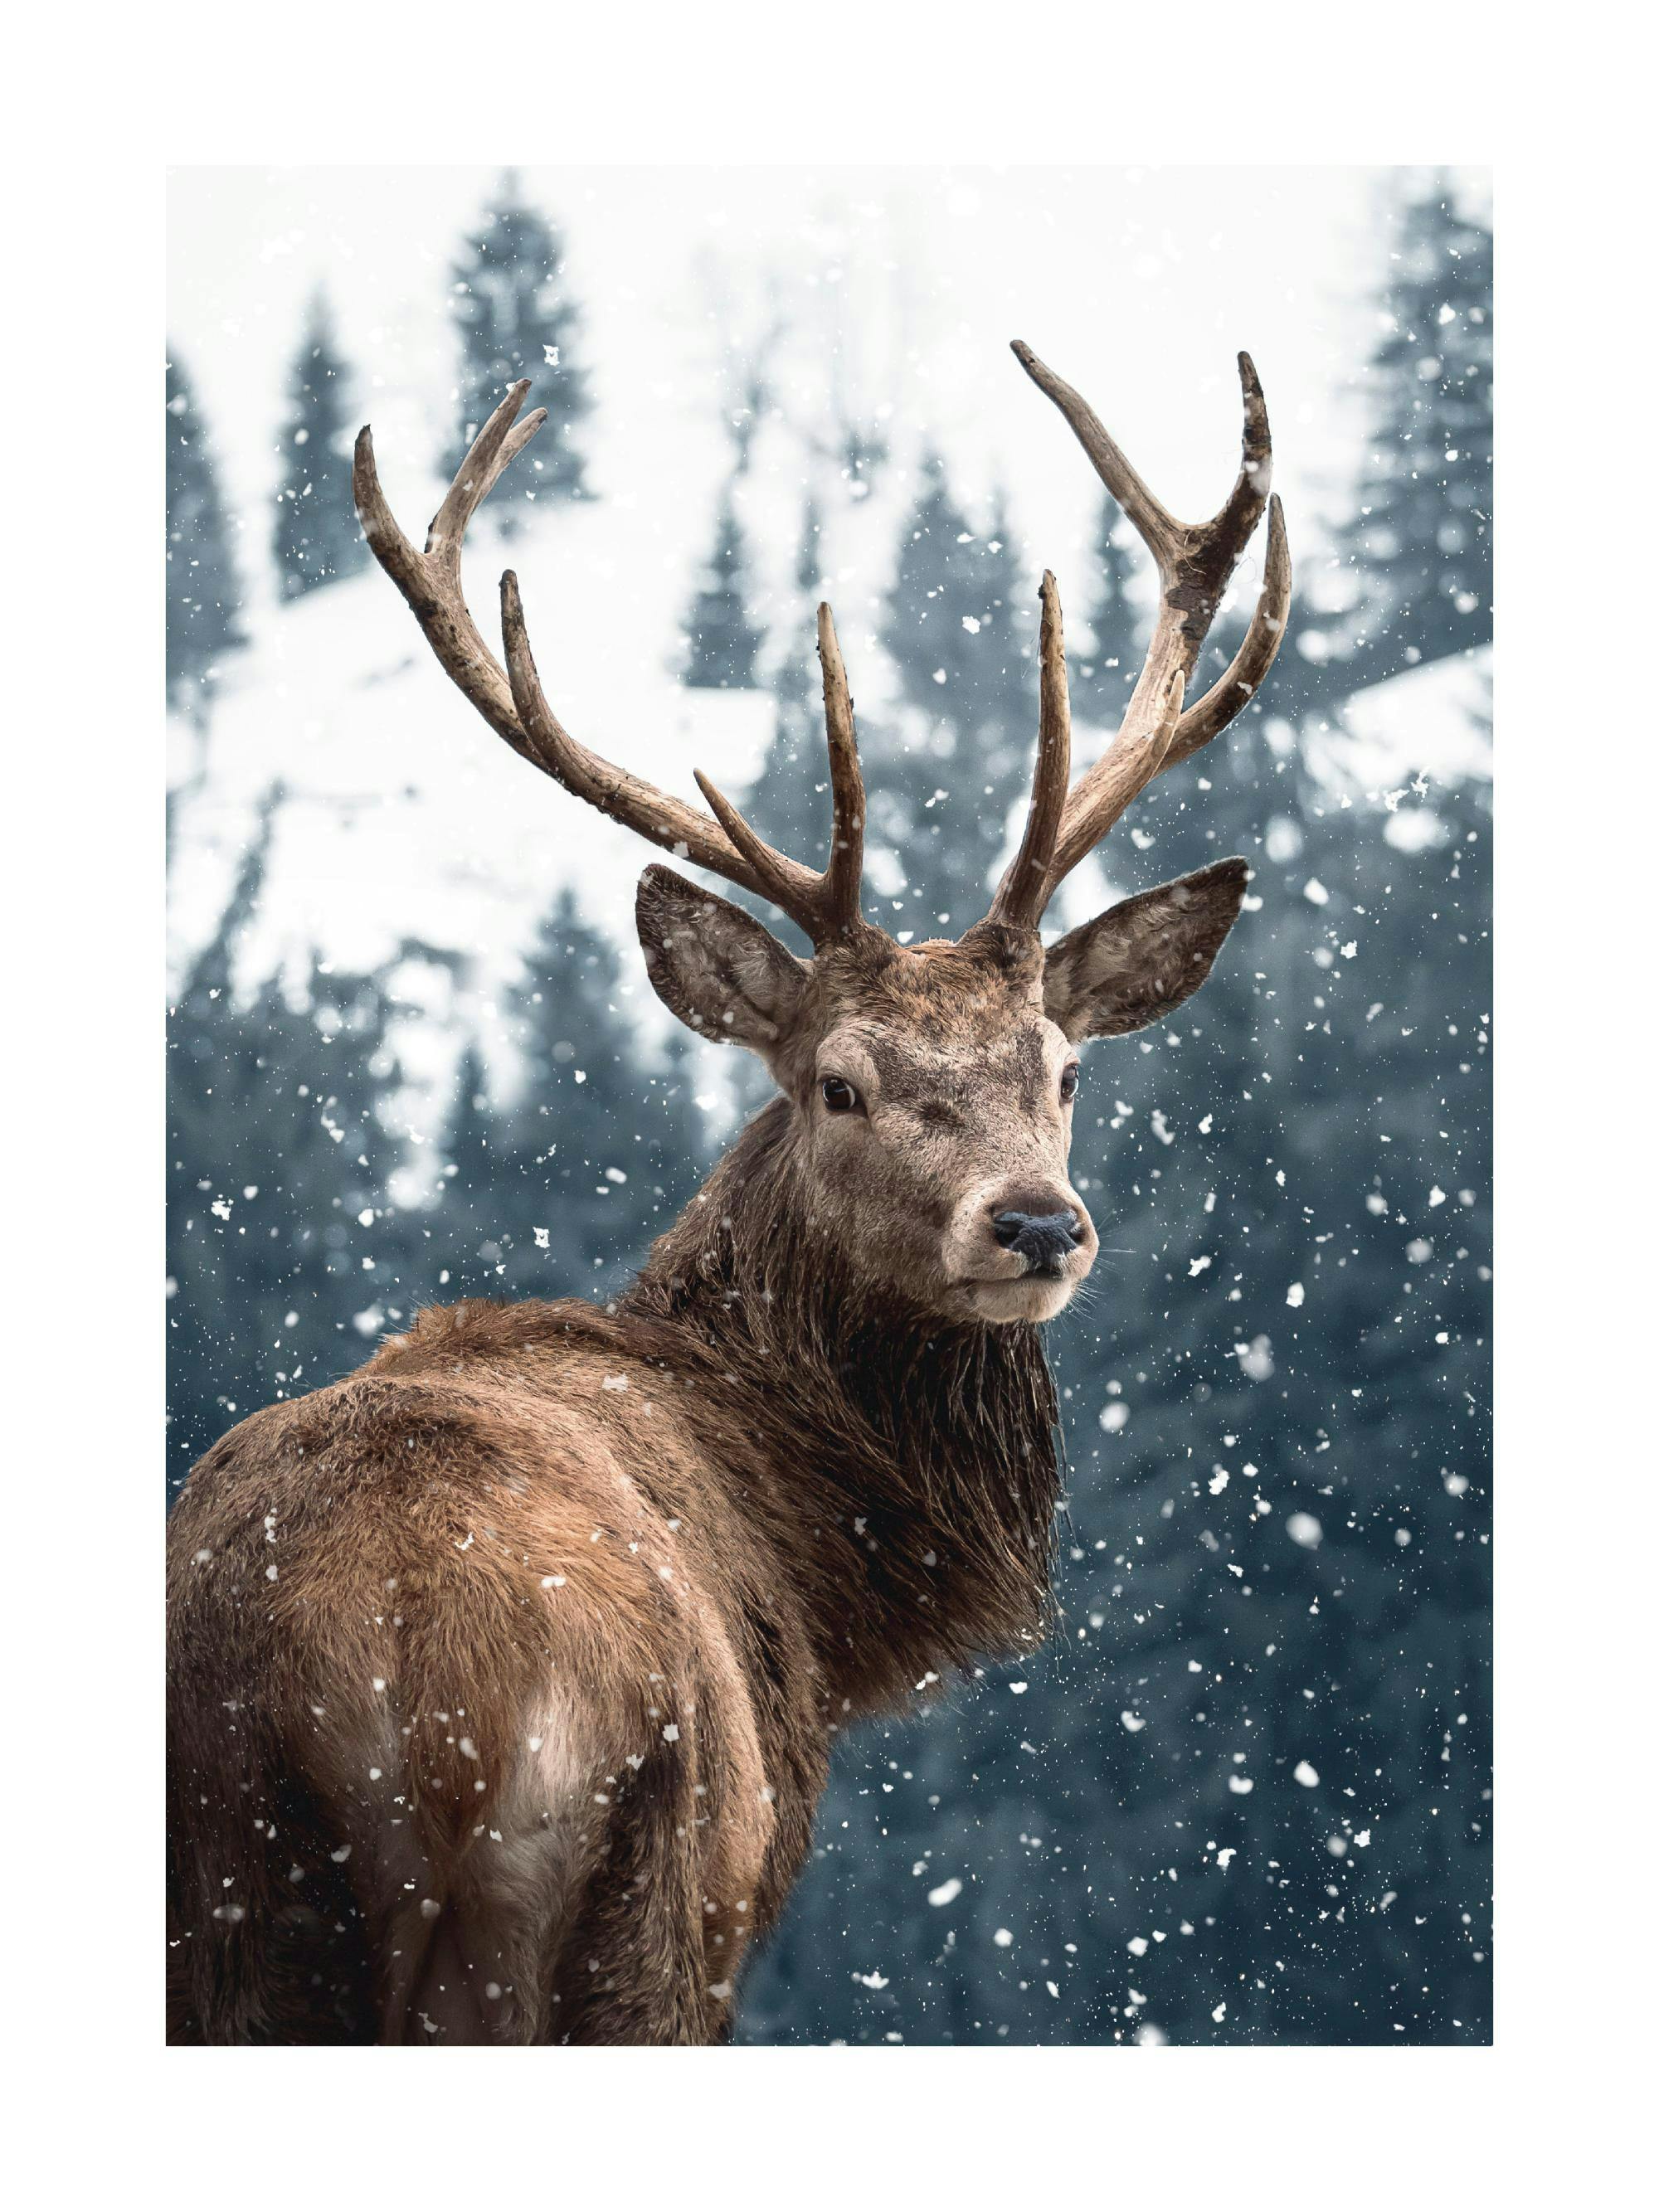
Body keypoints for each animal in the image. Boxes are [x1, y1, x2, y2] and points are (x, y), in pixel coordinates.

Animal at [166, 341, 1290, 2045]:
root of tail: (403, 1694)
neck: (824, 1577)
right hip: (617, 1896)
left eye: (1066, 1069)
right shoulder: (728, 1908)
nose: (1035, 1220)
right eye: (839, 1081)